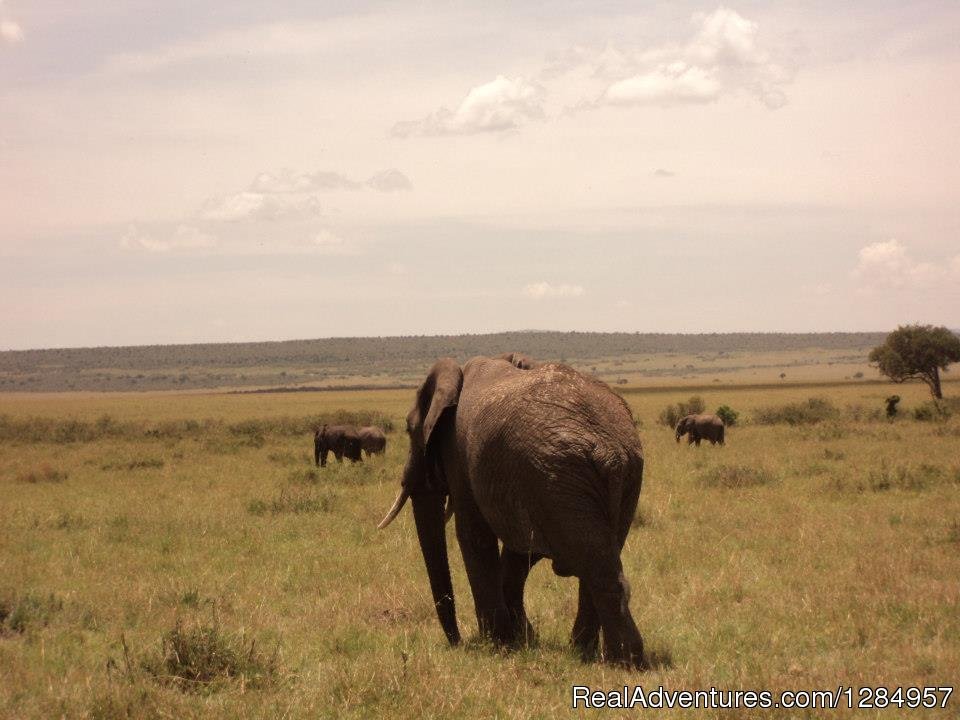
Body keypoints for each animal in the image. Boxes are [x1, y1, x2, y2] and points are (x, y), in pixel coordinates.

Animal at [376, 358, 644, 668]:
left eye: (409, 429)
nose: (458, 643)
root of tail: (610, 452)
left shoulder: (463, 457)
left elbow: (474, 536)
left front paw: (496, 644)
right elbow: (520, 552)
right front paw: (522, 640)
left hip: (559, 477)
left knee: (596, 567)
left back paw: (620, 662)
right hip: (611, 481)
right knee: (598, 559)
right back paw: (587, 653)